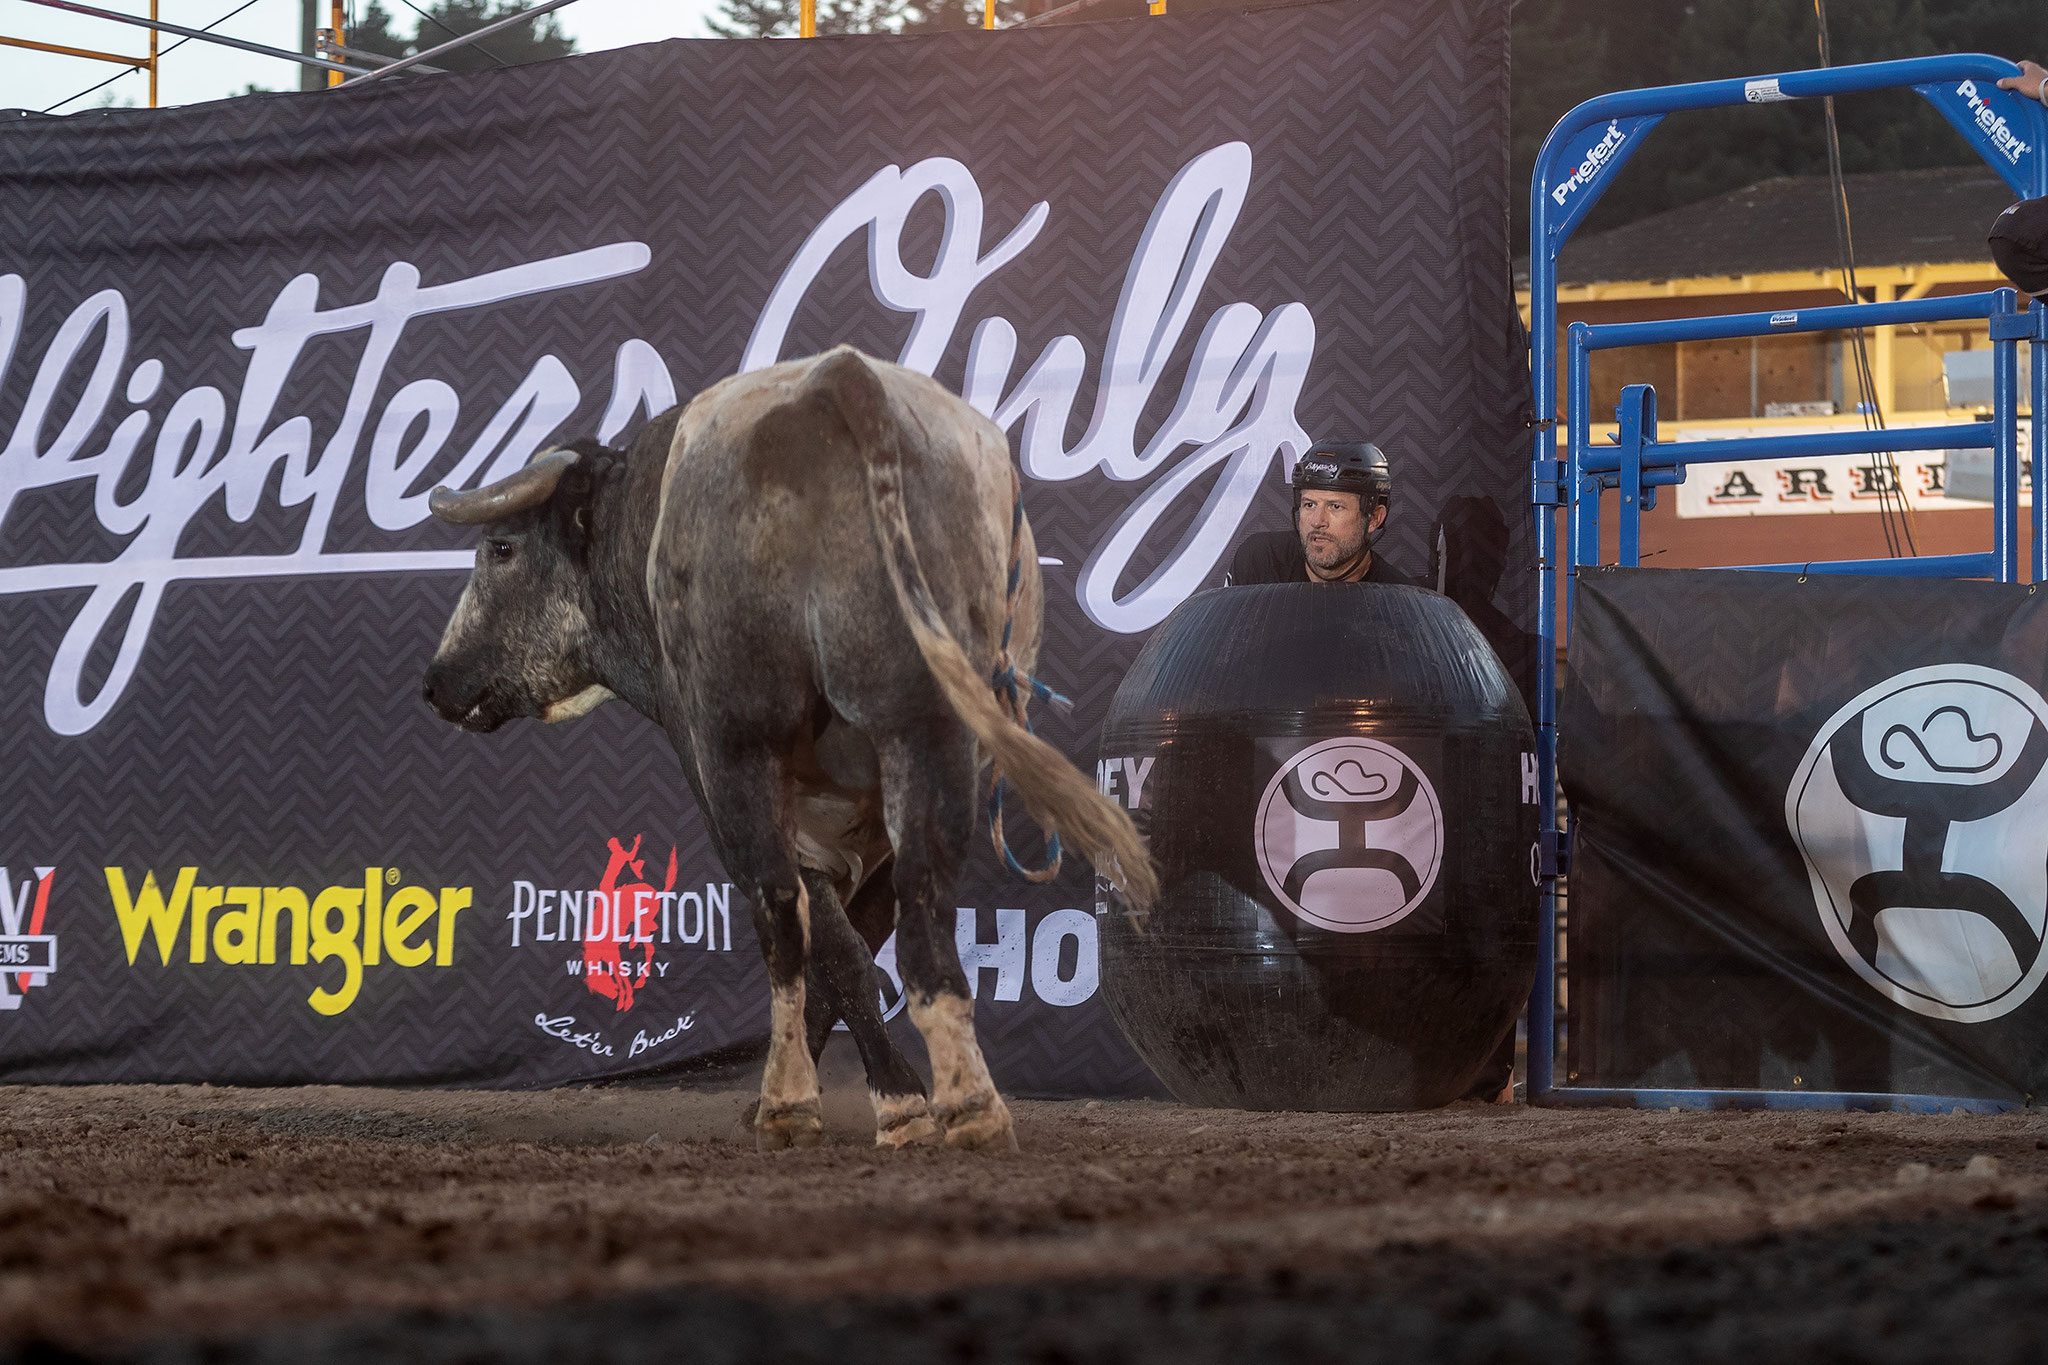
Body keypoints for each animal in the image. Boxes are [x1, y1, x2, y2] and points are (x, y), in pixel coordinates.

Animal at [421, 346, 1156, 1152]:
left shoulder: (729, 778)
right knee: (924, 915)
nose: (437, 681)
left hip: (744, 747)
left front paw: (874, 1097)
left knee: (780, 911)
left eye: (501, 548)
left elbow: (825, 947)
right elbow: (855, 948)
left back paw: (813, 1104)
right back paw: (969, 1106)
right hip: (927, 734)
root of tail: (843, 379)